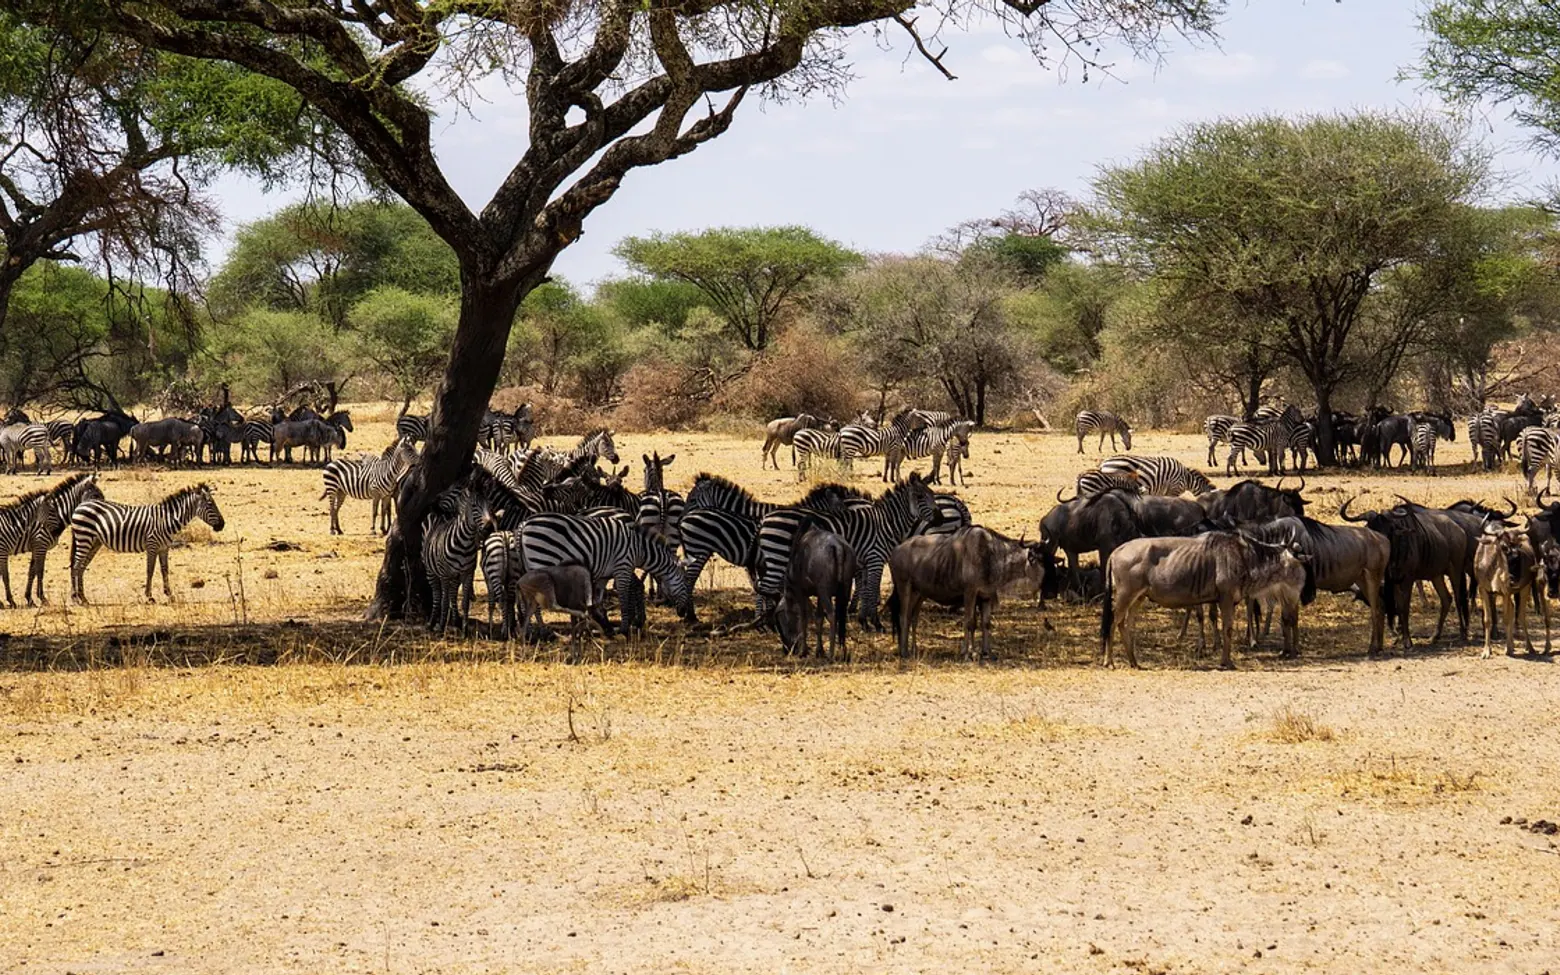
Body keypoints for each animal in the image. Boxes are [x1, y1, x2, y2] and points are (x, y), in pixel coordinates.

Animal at [69, 483, 225, 604]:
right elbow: (150, 570)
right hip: (84, 537)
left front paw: (169, 594)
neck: (166, 520)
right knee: (76, 565)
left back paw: (83, 598)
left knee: (81, 566)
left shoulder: (164, 548)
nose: (222, 525)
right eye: (210, 504)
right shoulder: (152, 545)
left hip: (94, 542)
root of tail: (81, 505)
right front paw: (149, 596)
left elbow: (164, 570)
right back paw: (76, 597)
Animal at [421, 487, 499, 634]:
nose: (490, 528)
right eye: (474, 506)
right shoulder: (445, 574)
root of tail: (439, 513)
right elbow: (444, 600)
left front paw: (464, 629)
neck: (464, 544)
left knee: (452, 593)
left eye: (491, 506)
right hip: (430, 570)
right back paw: (432, 622)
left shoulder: (467, 573)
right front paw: (441, 627)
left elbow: (464, 602)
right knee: (437, 595)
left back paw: (455, 620)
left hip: (455, 575)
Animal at [518, 513, 693, 633]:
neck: (639, 549)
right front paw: (623, 628)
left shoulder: (603, 576)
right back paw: (543, 631)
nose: (683, 612)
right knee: (536, 602)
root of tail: (524, 523)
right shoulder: (623, 567)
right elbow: (623, 596)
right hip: (541, 560)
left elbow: (597, 600)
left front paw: (603, 625)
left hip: (530, 564)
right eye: (684, 583)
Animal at [754, 473, 938, 631]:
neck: (886, 523)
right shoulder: (875, 558)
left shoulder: (865, 563)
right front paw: (876, 623)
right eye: (920, 497)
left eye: (932, 494)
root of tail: (766, 518)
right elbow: (872, 590)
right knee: (766, 587)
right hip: (779, 556)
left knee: (764, 586)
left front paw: (863, 622)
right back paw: (770, 623)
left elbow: (865, 590)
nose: (940, 517)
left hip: (776, 557)